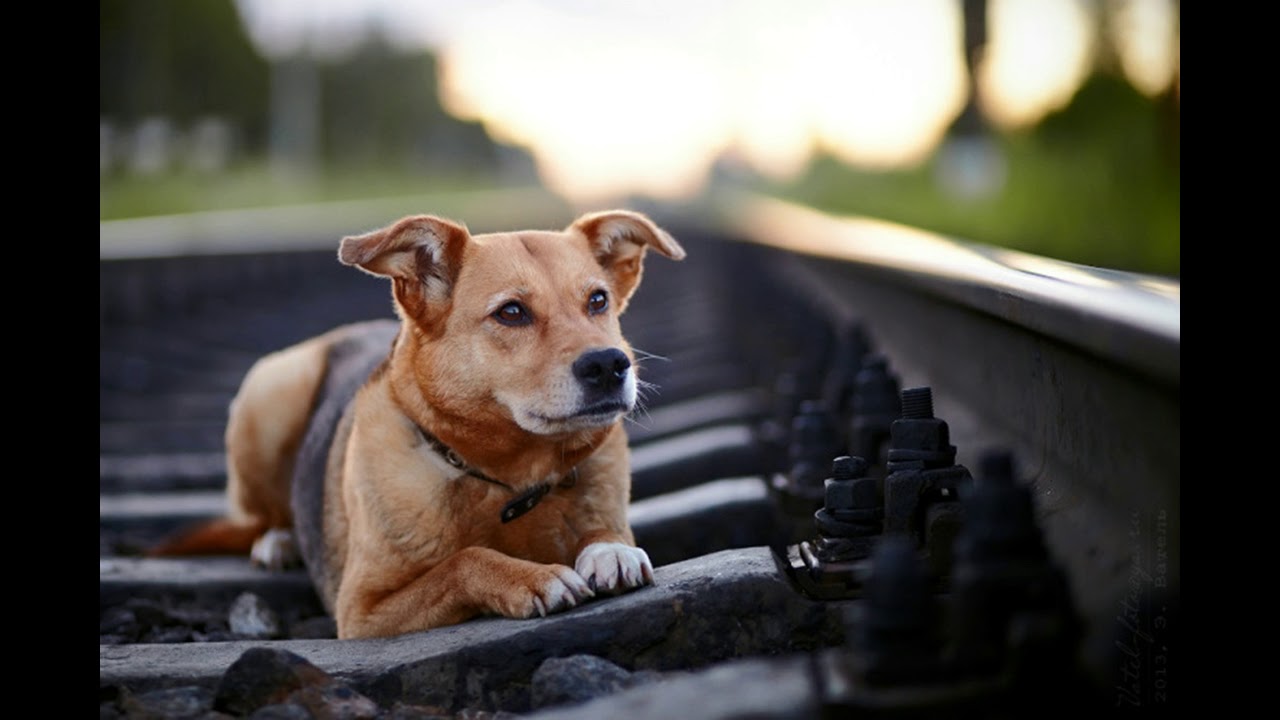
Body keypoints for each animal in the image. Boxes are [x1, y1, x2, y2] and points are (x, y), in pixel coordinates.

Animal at [148, 210, 686, 635]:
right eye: (511, 312)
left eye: (598, 301)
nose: (610, 365)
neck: (507, 481)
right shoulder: (363, 611)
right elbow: (463, 562)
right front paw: (533, 577)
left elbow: (603, 531)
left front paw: (608, 550)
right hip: (271, 397)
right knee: (262, 513)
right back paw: (279, 540)